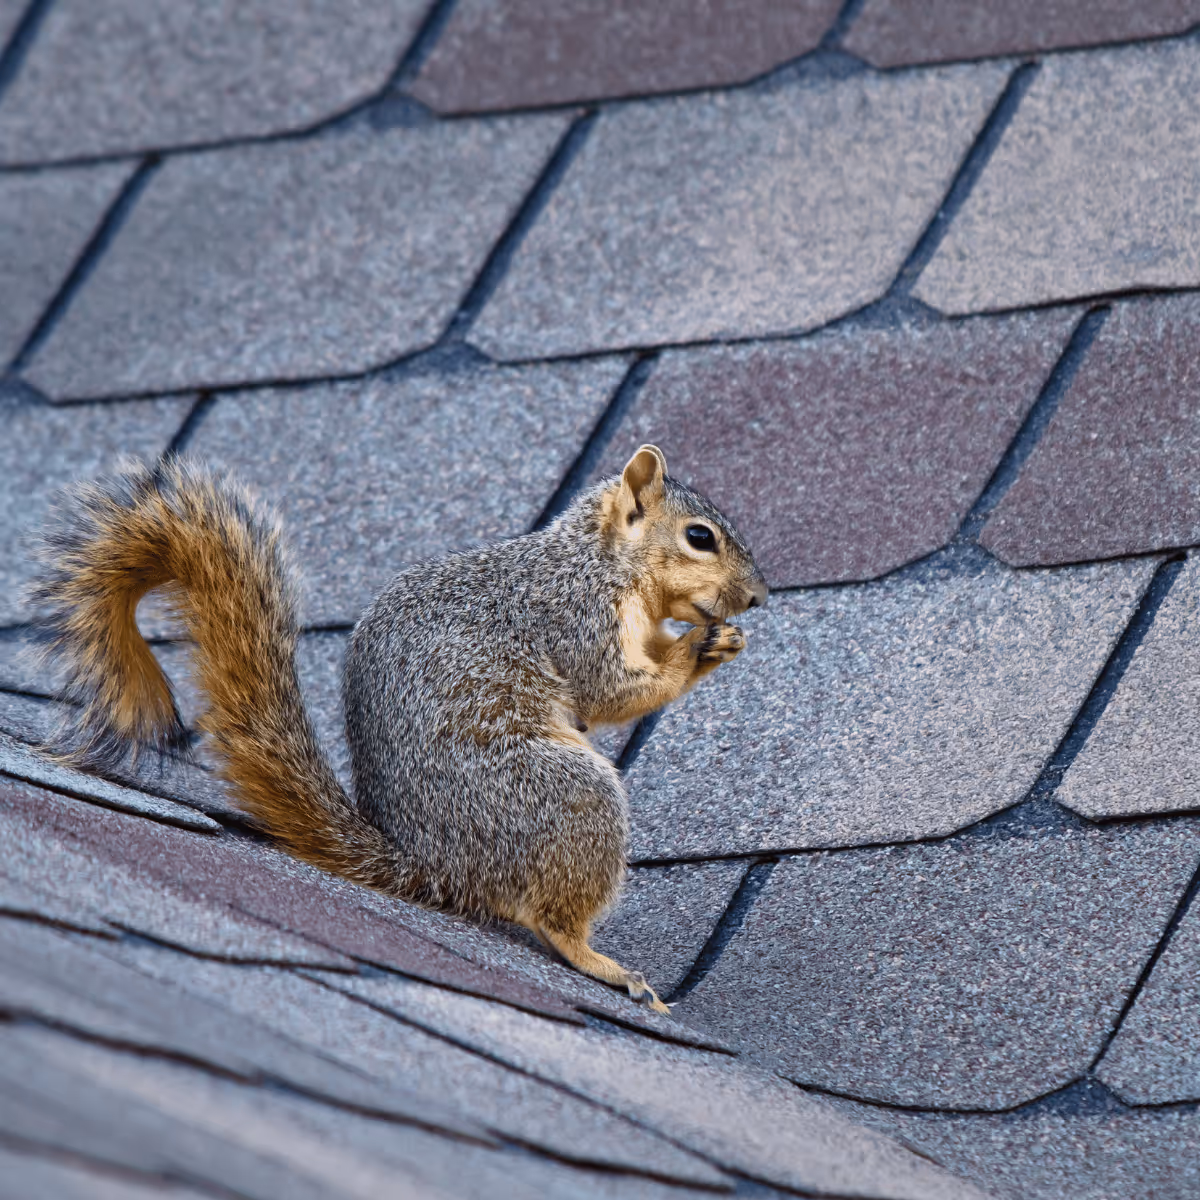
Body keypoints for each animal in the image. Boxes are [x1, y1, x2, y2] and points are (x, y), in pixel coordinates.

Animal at [32, 445, 767, 1013]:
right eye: (700, 536)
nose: (759, 597)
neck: (603, 561)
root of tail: (434, 867)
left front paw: (714, 640)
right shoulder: (572, 615)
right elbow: (609, 689)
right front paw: (697, 649)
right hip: (565, 794)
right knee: (551, 917)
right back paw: (601, 962)